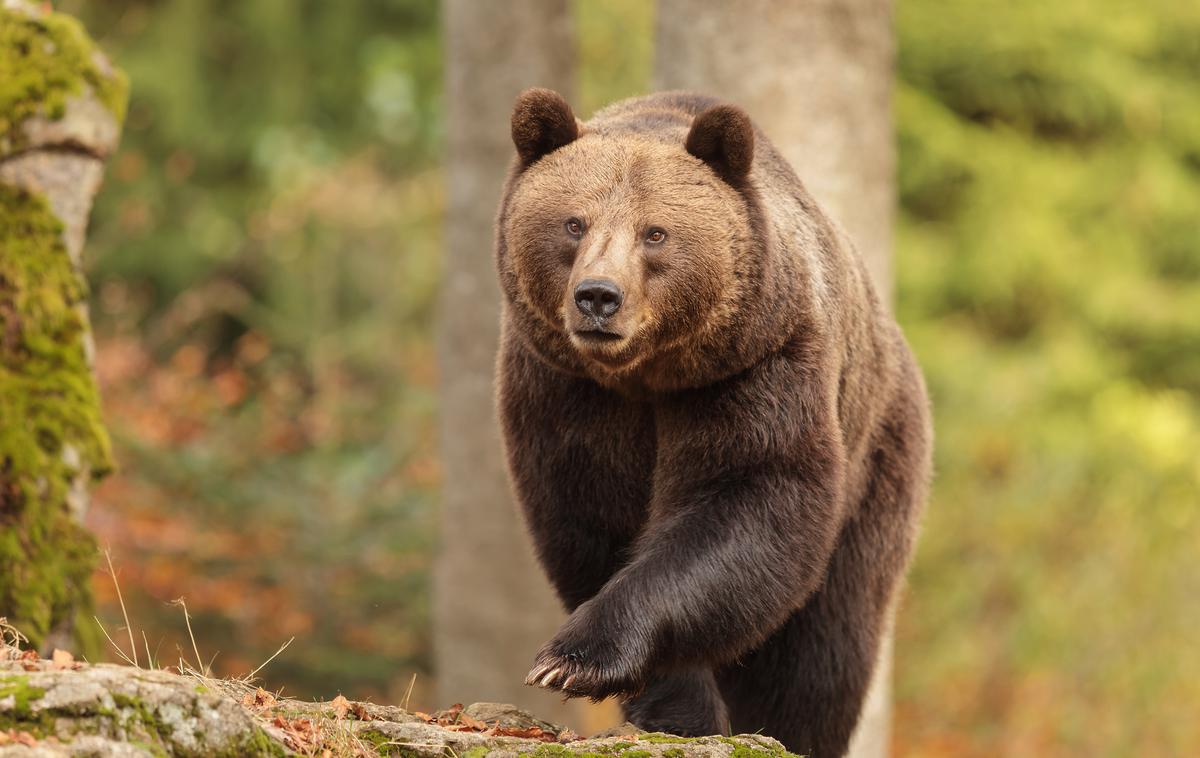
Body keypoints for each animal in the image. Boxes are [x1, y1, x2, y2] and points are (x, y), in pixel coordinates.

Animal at [492, 90, 931, 758]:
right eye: (573, 223)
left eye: (655, 232)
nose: (598, 296)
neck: (645, 377)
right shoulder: (566, 390)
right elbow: (594, 521)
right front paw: (673, 706)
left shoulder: (754, 368)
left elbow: (749, 499)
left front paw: (575, 659)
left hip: (878, 458)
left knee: (825, 646)